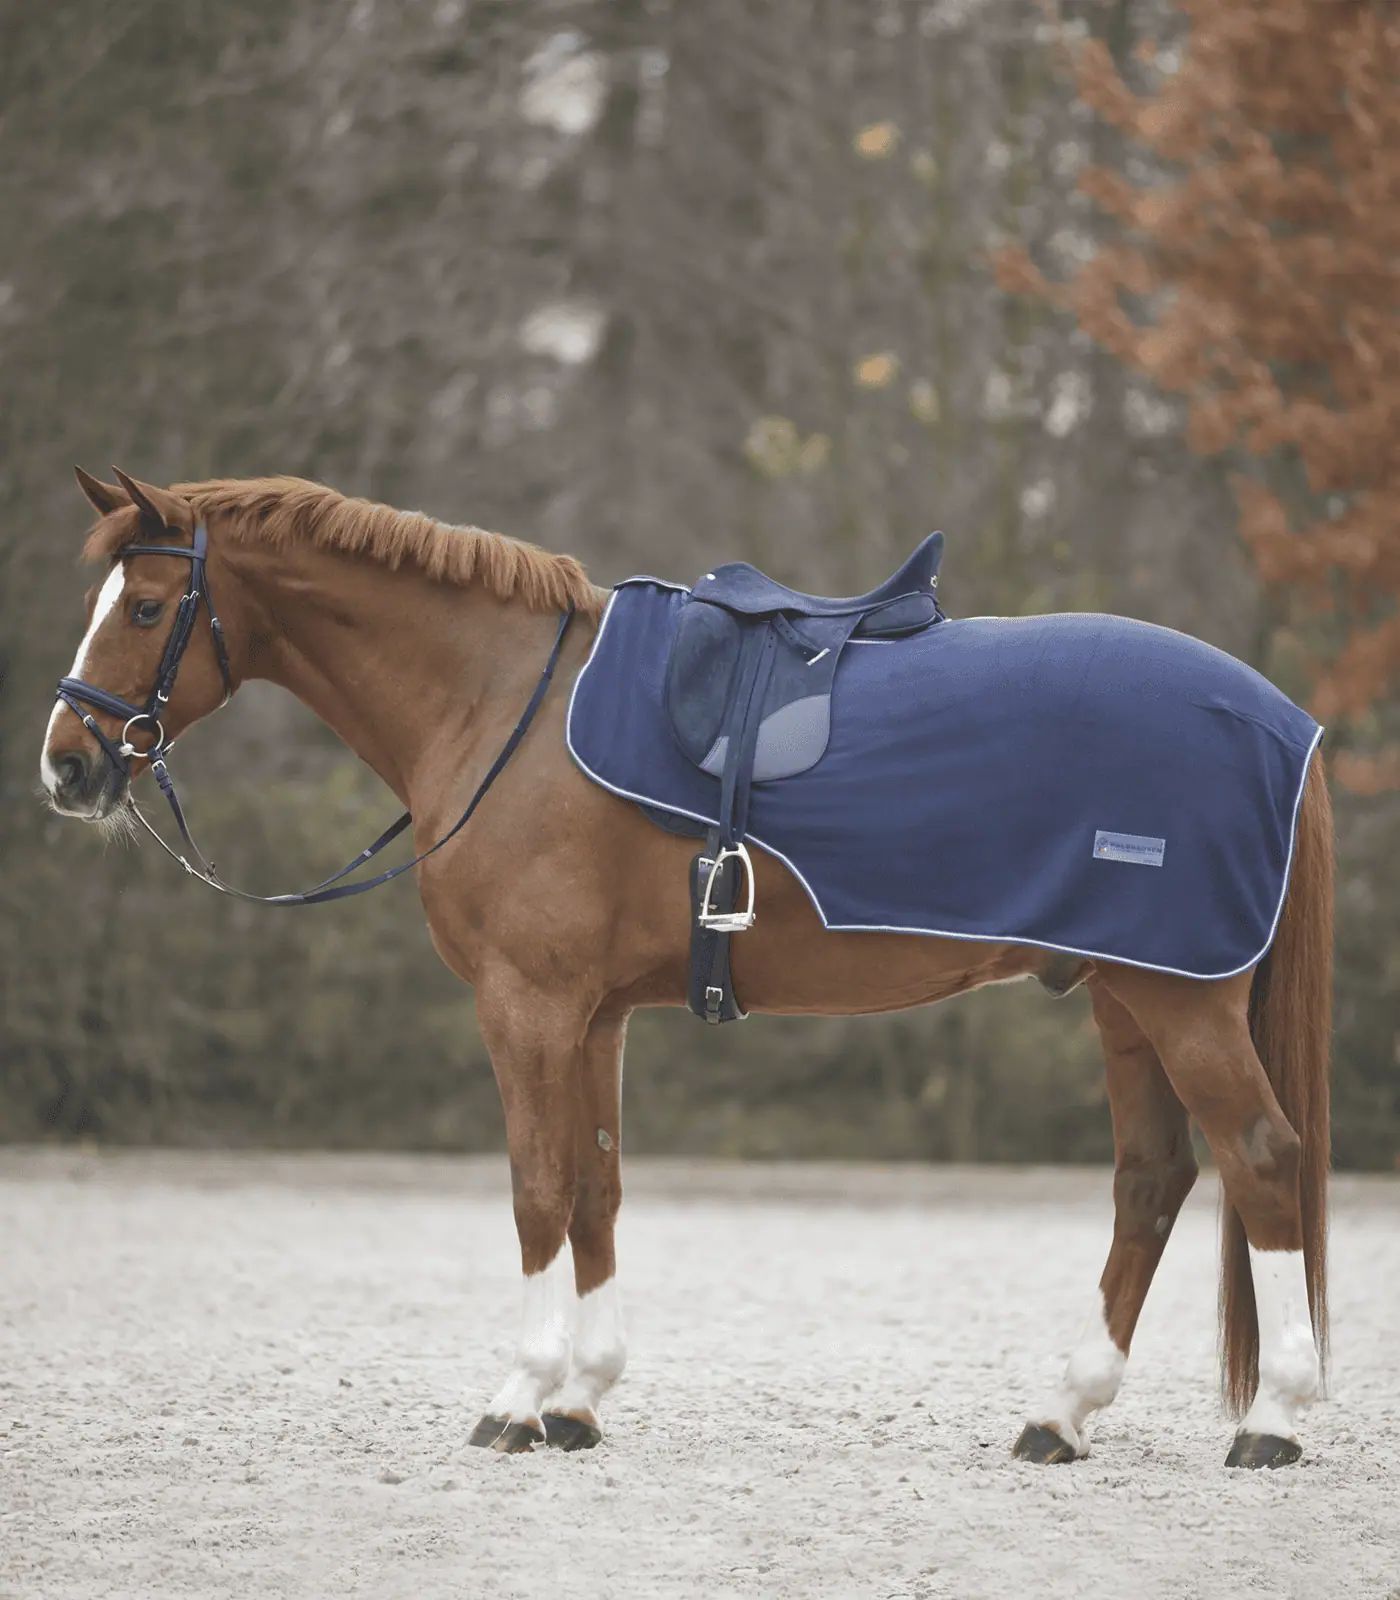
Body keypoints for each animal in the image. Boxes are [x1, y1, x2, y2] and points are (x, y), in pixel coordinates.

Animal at [40, 468, 1332, 1469]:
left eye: (146, 604)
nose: (66, 765)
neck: (500, 704)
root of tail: (1280, 719)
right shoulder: (594, 1014)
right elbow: (596, 1189)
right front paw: (579, 1398)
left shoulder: (526, 1004)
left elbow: (535, 1189)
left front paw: (518, 1397)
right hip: (1122, 995)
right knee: (1150, 1182)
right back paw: (1060, 1415)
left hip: (1180, 1001)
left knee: (1262, 1158)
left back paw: (1271, 1420)